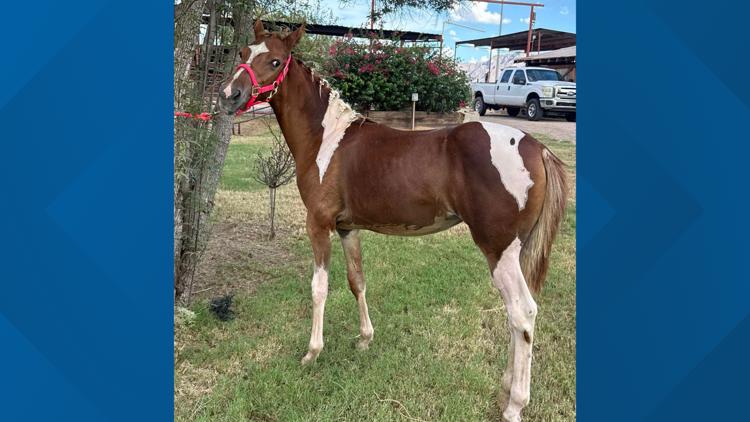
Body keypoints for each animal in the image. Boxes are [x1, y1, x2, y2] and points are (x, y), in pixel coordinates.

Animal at [218, 21, 568, 422]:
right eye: (244, 53)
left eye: (275, 61)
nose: (229, 95)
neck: (326, 138)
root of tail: (537, 148)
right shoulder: (347, 228)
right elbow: (357, 281)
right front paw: (364, 339)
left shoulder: (318, 225)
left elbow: (319, 287)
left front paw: (312, 352)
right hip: (517, 250)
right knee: (517, 318)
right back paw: (506, 386)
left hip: (499, 249)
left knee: (522, 313)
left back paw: (514, 404)